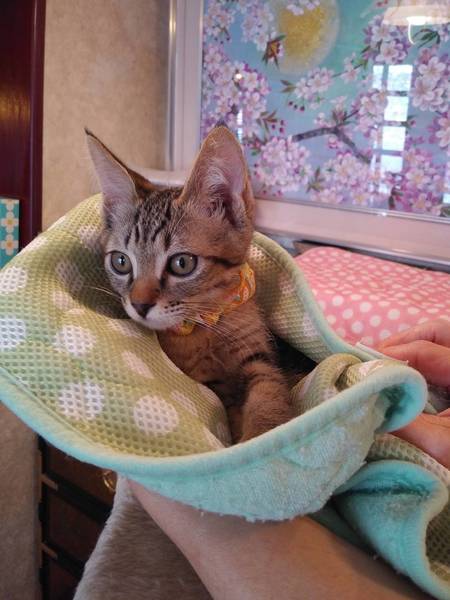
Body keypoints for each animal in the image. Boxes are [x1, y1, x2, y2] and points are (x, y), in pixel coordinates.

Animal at [86, 125, 296, 442]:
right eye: (121, 262)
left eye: (182, 263)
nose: (139, 304)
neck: (202, 323)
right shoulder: (207, 381)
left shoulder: (260, 356)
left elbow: (269, 390)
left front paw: (266, 432)